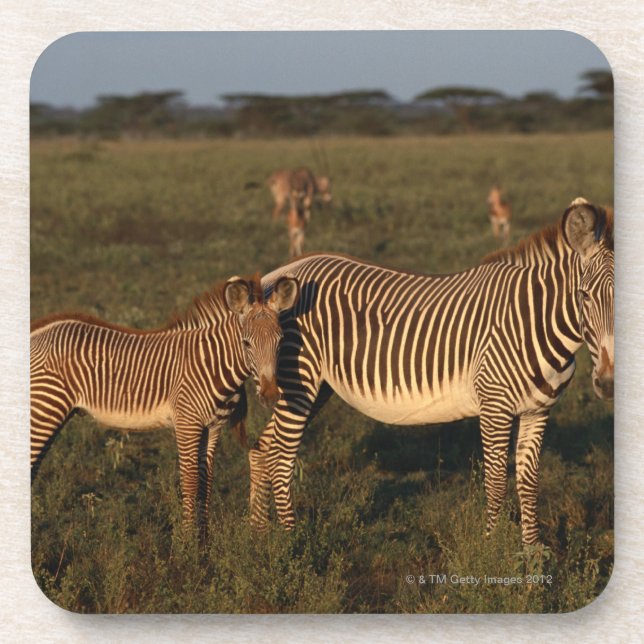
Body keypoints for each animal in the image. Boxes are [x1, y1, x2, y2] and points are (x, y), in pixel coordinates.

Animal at [31, 273, 300, 537]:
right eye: (246, 343)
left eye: (281, 340)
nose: (270, 395)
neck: (211, 364)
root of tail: (37, 332)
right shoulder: (187, 424)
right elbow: (190, 482)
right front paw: (187, 542)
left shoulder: (213, 427)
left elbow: (206, 482)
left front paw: (204, 542)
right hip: (45, 409)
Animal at [248, 198, 614, 546]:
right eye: (584, 295)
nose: (609, 383)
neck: (532, 320)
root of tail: (276, 274)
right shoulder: (494, 407)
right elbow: (496, 483)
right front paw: (493, 551)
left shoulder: (538, 410)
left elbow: (528, 482)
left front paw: (532, 554)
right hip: (298, 380)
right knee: (281, 454)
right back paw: (292, 543)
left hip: (315, 388)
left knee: (262, 447)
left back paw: (261, 537)